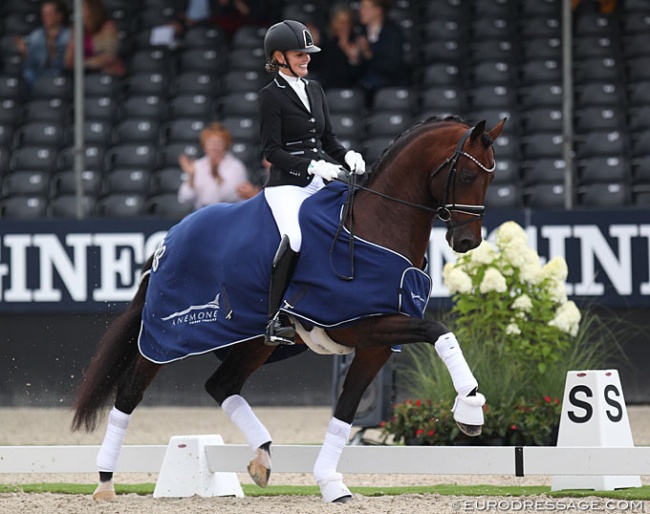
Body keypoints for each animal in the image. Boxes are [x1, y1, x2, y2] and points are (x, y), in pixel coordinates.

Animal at [72, 114, 506, 502]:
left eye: (491, 178)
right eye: (468, 176)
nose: (467, 241)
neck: (376, 225)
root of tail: (169, 239)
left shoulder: (375, 347)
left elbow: (346, 412)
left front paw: (331, 484)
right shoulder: (369, 325)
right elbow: (440, 332)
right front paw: (470, 409)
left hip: (252, 343)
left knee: (222, 385)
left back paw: (262, 457)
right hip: (167, 338)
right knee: (129, 393)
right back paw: (105, 482)